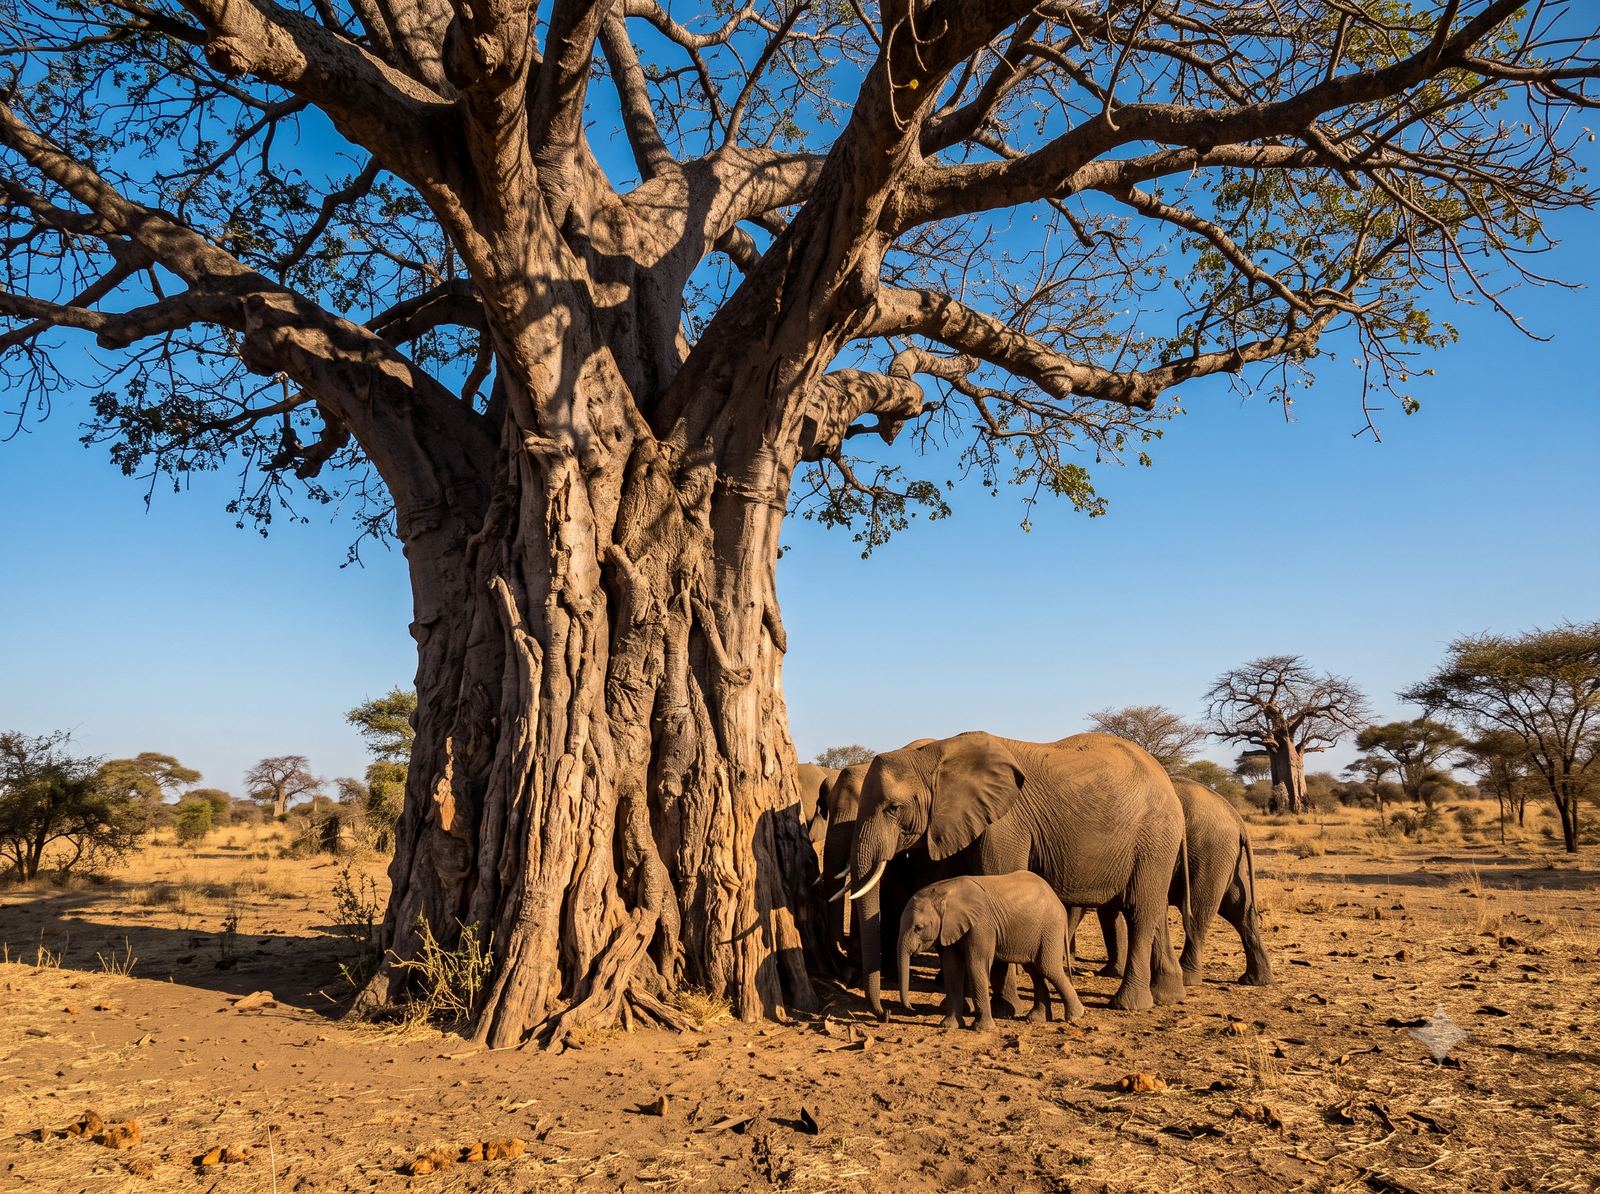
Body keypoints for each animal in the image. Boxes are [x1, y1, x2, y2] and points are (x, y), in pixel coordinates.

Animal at [897, 872, 1085, 1032]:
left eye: (918, 928)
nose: (911, 1007)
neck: (945, 892)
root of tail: (1057, 900)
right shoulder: (950, 928)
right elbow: (952, 968)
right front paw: (948, 1026)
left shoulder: (981, 925)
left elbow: (976, 965)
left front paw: (982, 1029)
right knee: (1035, 971)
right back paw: (1036, 1018)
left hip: (1050, 928)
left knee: (1048, 968)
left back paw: (1075, 1016)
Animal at [1077, 775, 1271, 986]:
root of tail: (1237, 818)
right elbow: (1106, 910)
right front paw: (1110, 972)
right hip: (1229, 859)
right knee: (1238, 909)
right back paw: (1256, 980)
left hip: (1209, 854)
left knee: (1198, 912)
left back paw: (1187, 979)